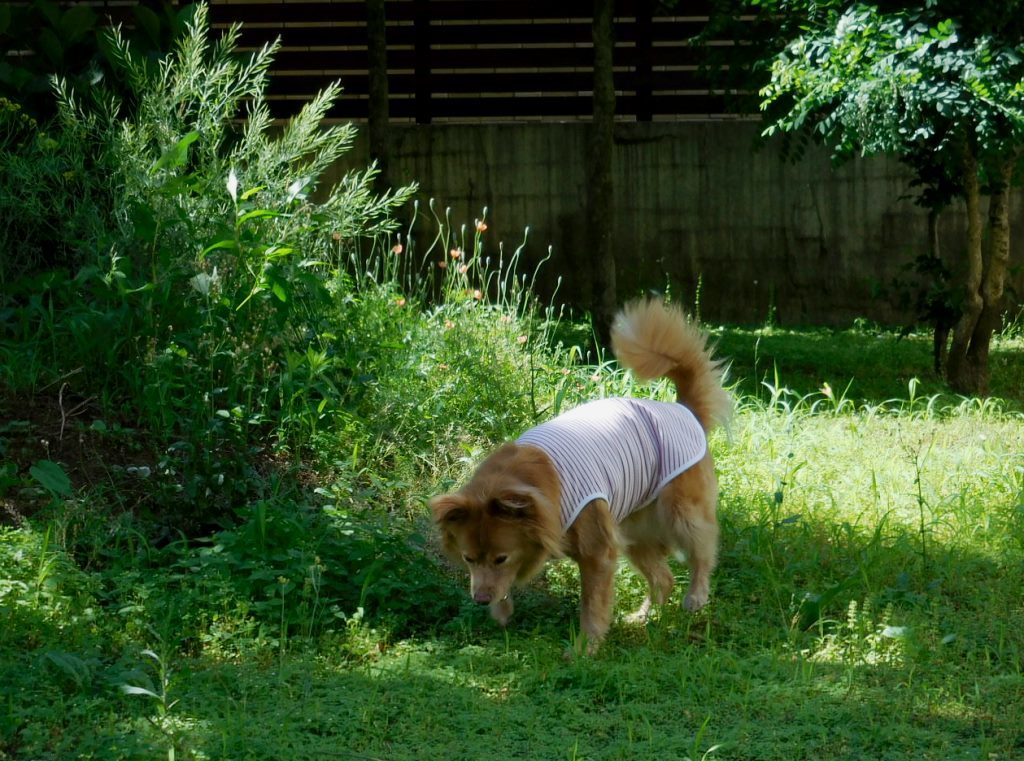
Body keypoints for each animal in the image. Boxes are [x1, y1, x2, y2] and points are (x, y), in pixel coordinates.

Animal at [428, 297, 733, 655]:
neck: (545, 493)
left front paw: (584, 648)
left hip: (680, 511)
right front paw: (501, 612)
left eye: (501, 558)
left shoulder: (597, 552)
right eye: (468, 558)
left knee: (704, 548)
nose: (479, 599)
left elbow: (592, 605)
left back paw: (696, 595)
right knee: (663, 578)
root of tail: (684, 410)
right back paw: (644, 618)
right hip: (632, 529)